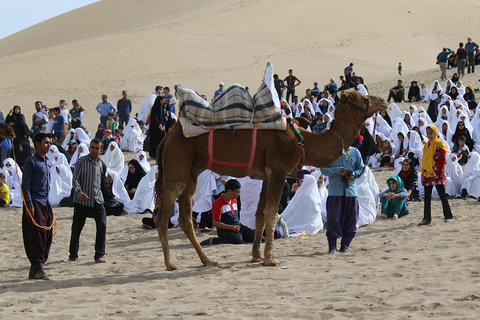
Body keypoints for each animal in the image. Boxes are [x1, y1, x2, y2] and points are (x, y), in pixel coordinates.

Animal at [154, 90, 386, 270]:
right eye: (364, 98)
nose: (383, 102)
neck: (302, 141)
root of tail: (168, 137)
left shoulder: (266, 175)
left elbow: (259, 215)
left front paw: (256, 256)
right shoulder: (278, 170)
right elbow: (272, 214)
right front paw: (270, 259)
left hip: (191, 171)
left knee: (185, 218)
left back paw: (207, 261)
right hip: (177, 168)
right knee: (163, 216)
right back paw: (170, 264)